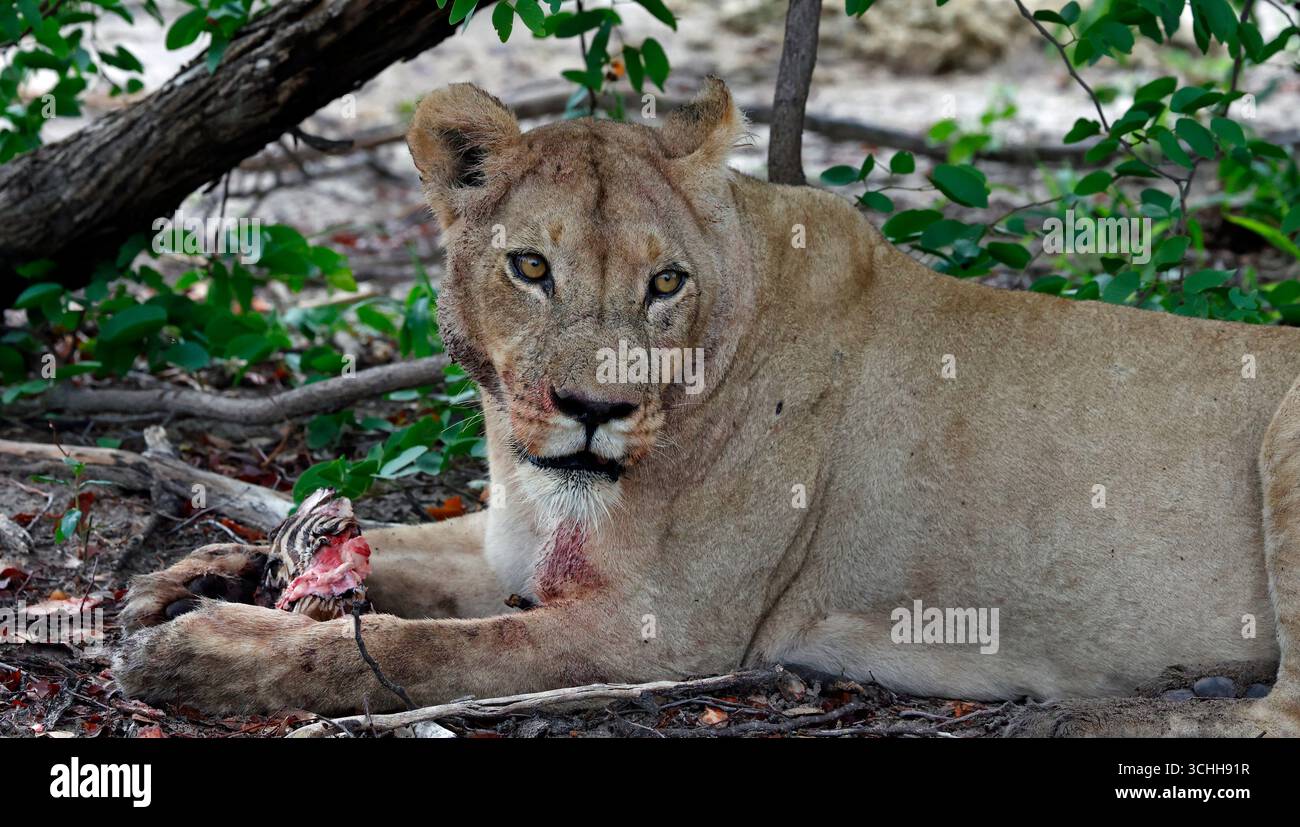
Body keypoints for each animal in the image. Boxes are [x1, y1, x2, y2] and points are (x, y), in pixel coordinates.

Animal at [115, 78, 1300, 736]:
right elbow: (392, 553)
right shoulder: (516, 546)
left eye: (664, 282)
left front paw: (206, 652)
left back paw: (1076, 714)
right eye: (531, 267)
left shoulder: (660, 629)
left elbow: (412, 651)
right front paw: (194, 576)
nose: (595, 407)